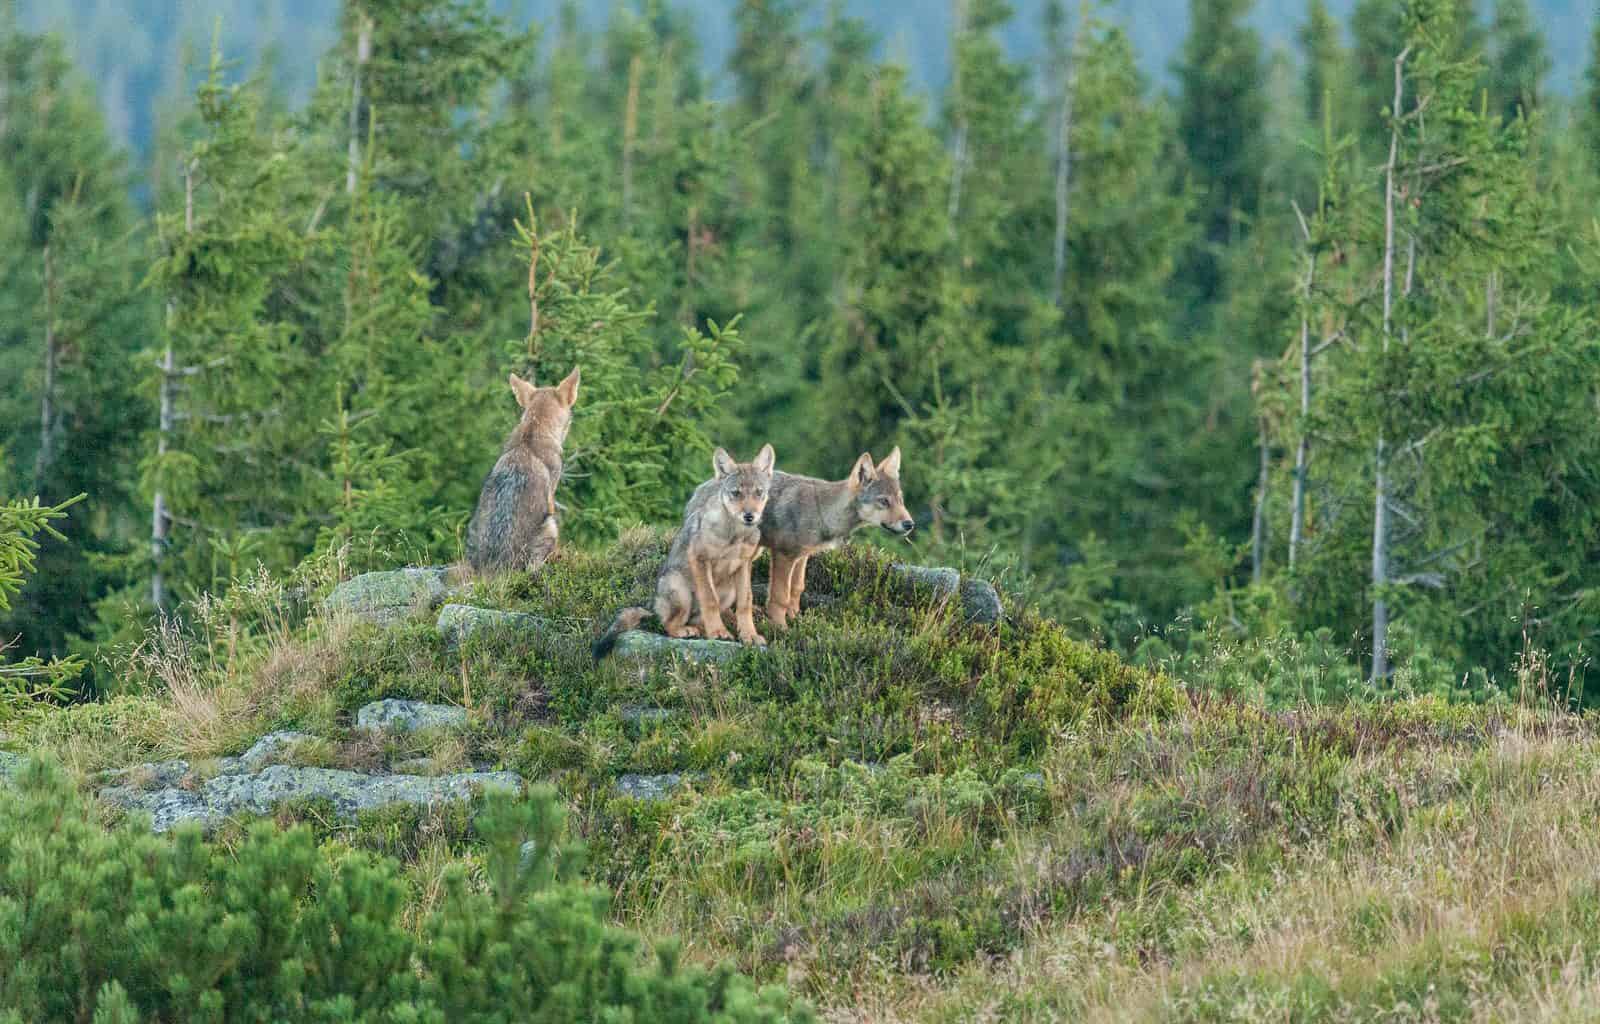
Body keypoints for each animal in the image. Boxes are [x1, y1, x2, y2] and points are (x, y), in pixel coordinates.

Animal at [593, 444, 776, 658]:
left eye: (758, 493)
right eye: (736, 493)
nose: (749, 516)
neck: (735, 535)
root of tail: (652, 606)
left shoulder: (744, 565)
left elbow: (745, 604)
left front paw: (749, 636)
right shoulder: (699, 558)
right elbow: (710, 600)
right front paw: (718, 633)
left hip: (728, 591)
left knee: (702, 619)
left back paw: (705, 630)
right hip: (681, 592)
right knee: (668, 625)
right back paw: (691, 631)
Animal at [760, 446, 913, 630]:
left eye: (900, 500)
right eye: (884, 501)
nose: (910, 524)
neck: (821, 511)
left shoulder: (801, 557)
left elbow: (796, 589)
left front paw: (796, 621)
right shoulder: (784, 555)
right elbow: (780, 597)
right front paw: (780, 628)